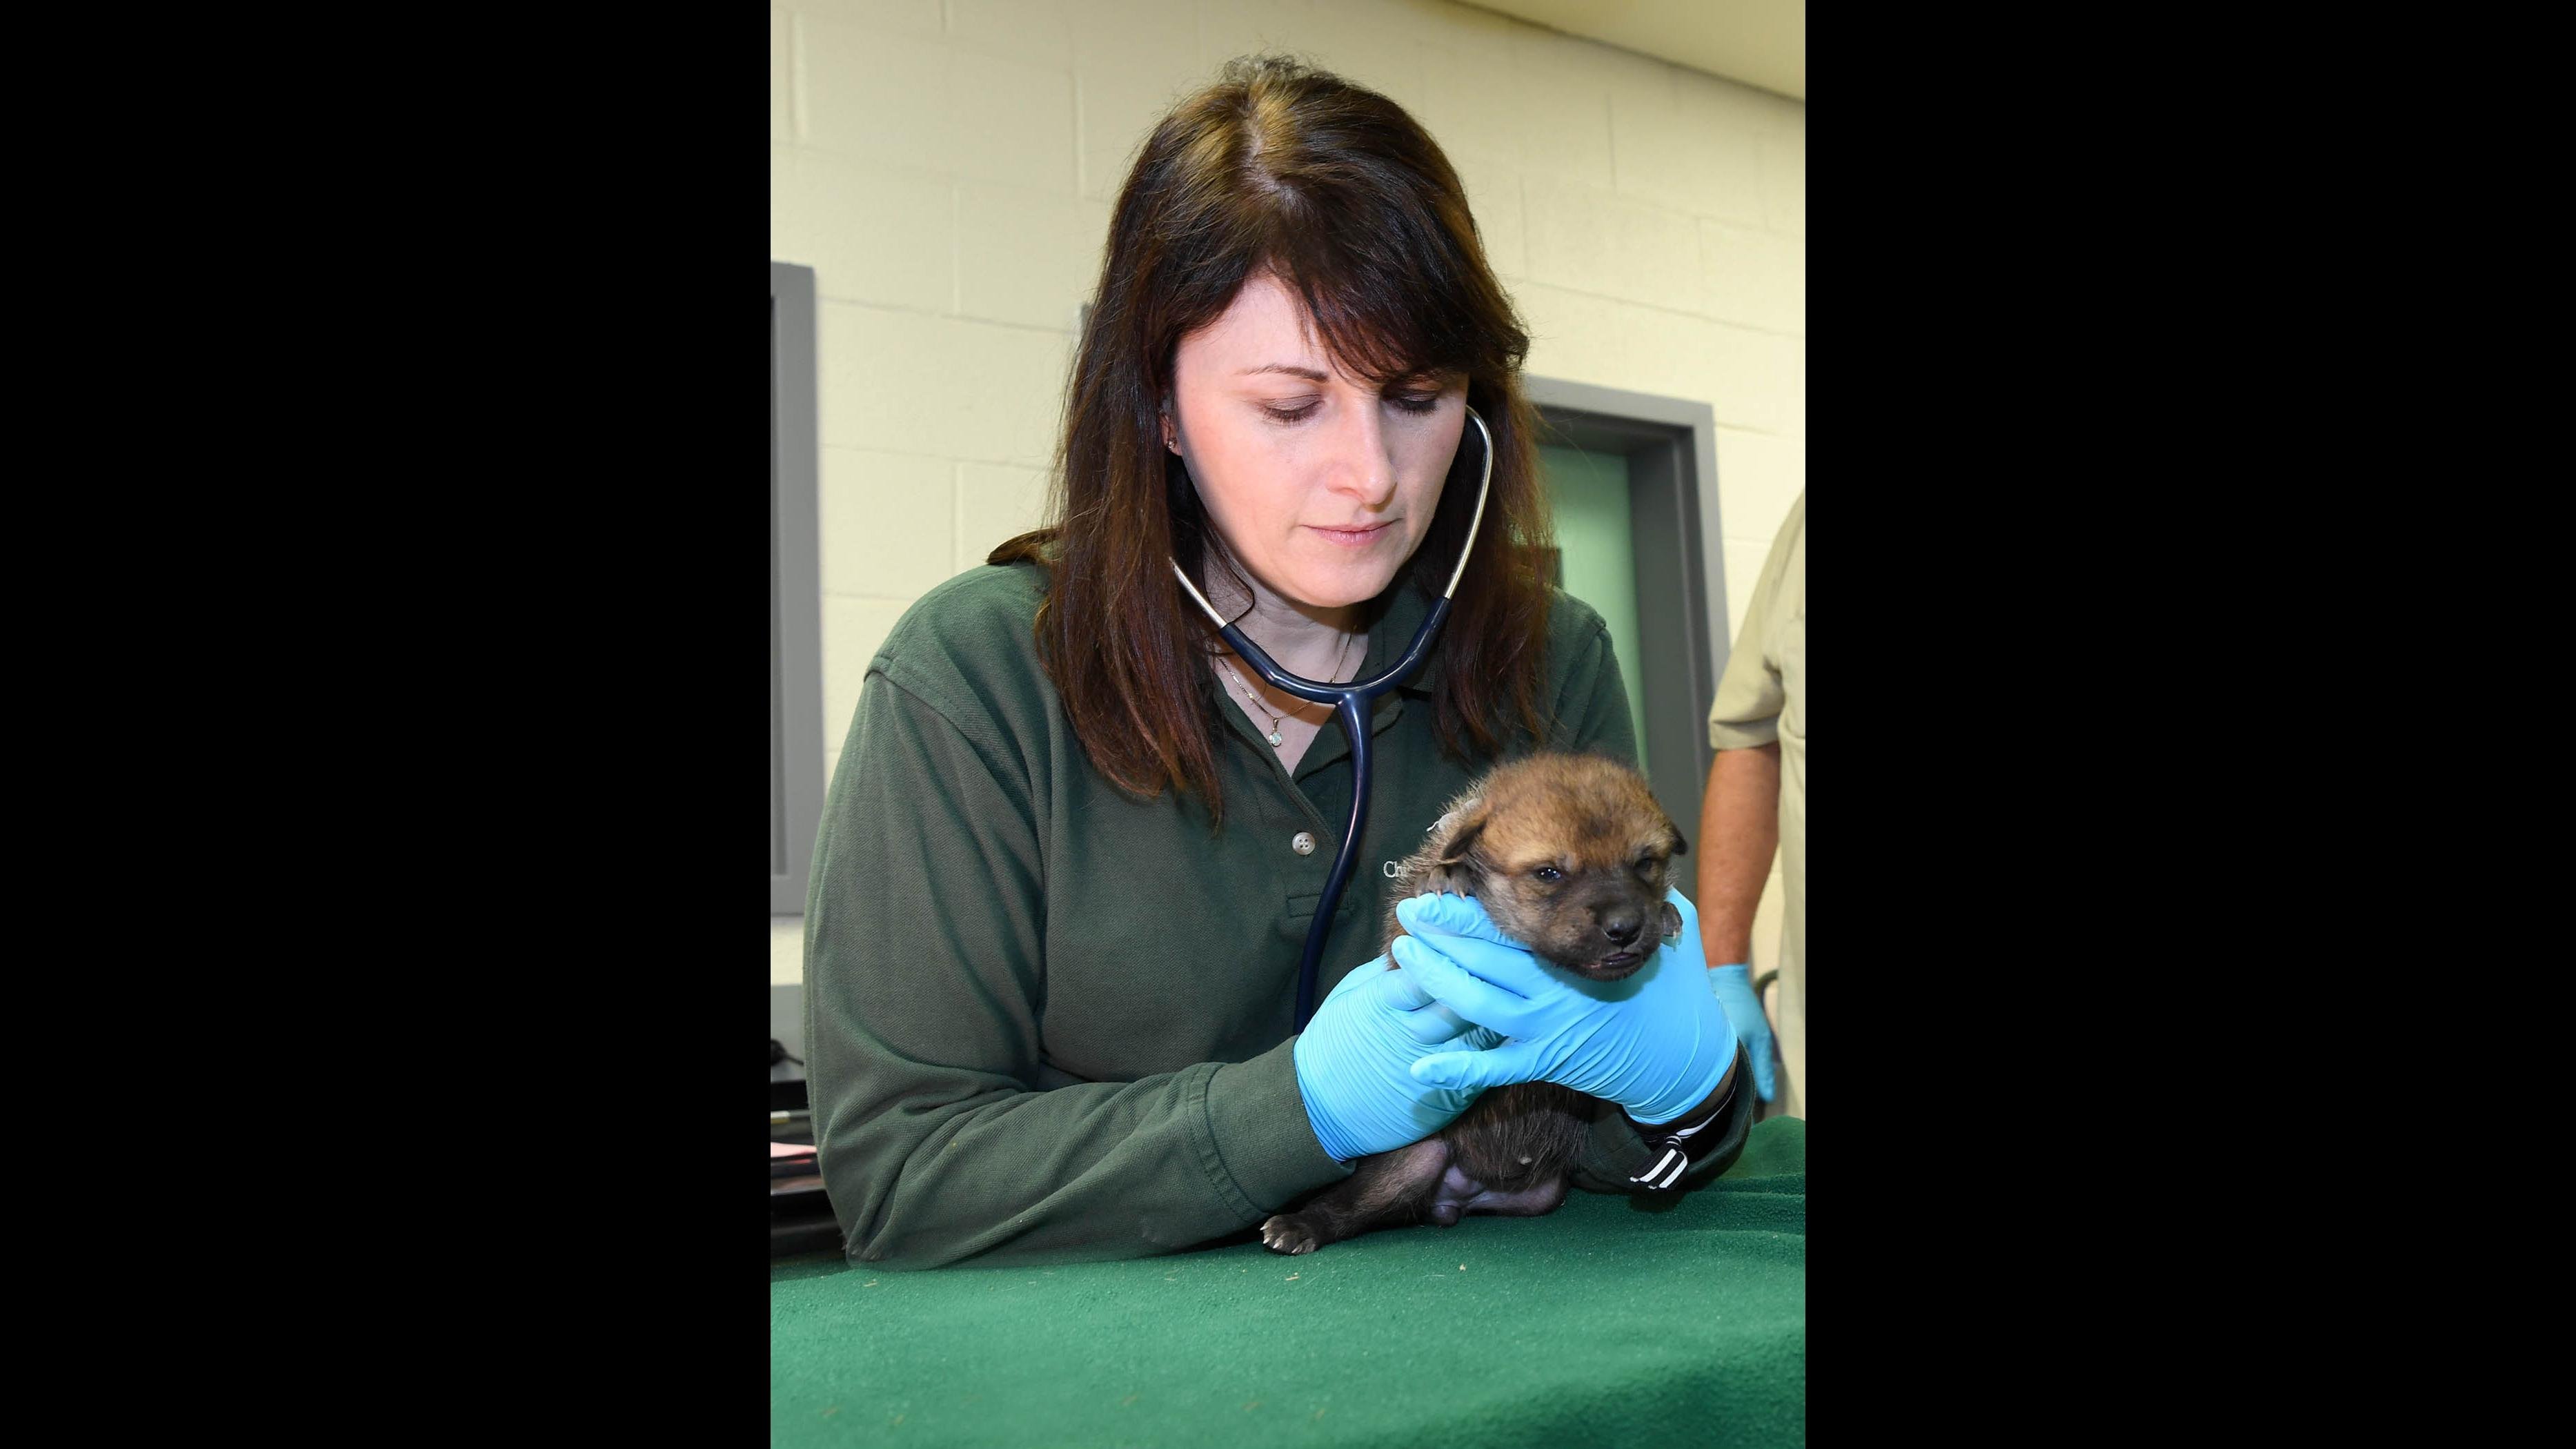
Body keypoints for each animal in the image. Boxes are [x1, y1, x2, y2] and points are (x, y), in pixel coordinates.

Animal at [1267, 747, 1690, 1248]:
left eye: (1645, 863)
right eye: (1549, 873)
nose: (1625, 927)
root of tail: (1463, 1193)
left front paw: (1668, 911)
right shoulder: (1404, 938)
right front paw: (1448, 874)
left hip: (1540, 1194)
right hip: (1418, 1157)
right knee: (1348, 1205)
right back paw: (1298, 1225)